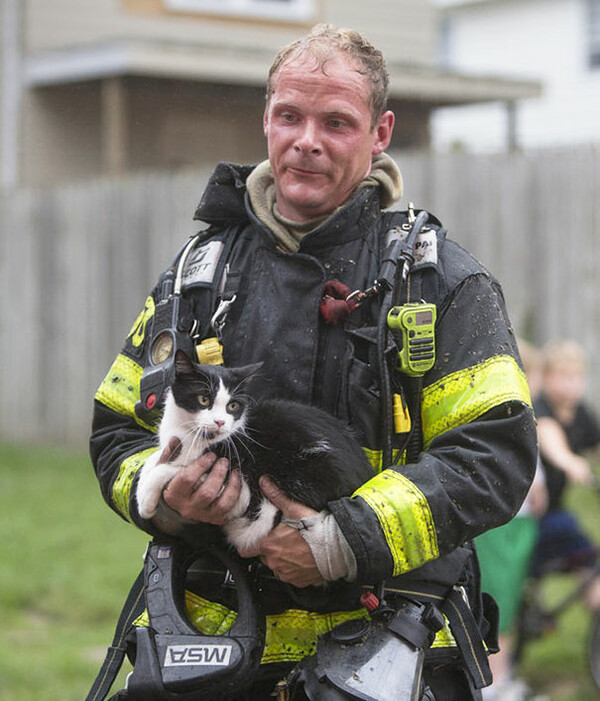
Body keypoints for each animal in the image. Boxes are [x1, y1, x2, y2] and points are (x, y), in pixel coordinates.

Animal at [137, 350, 372, 552]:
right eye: (204, 399)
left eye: (232, 406)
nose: (220, 422)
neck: (193, 435)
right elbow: (155, 458)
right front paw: (143, 484)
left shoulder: (238, 479)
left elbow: (176, 469)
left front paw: (146, 501)